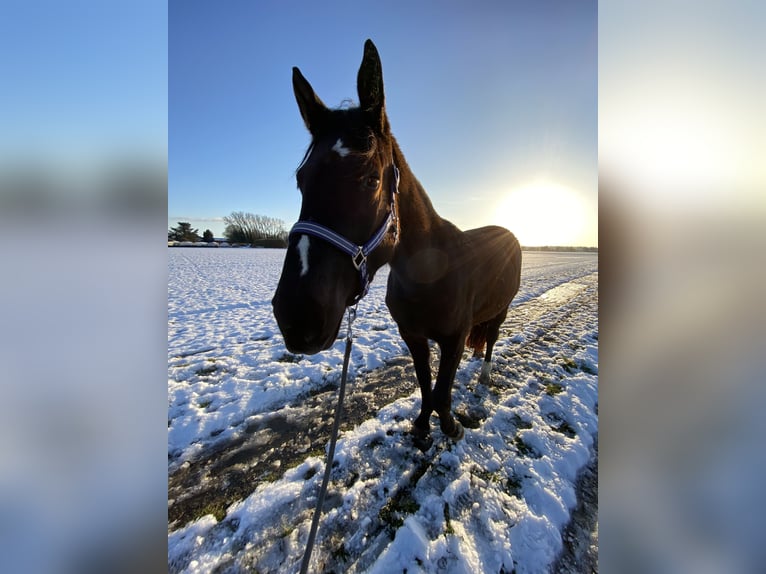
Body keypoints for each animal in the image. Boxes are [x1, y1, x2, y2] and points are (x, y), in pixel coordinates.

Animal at [272, 40, 521, 449]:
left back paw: (484, 375)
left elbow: (441, 390)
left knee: (493, 339)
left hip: (501, 309)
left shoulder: (453, 338)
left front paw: (449, 426)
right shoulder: (413, 336)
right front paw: (422, 426)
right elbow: (425, 385)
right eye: (300, 179)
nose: (297, 315)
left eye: (371, 179)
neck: (432, 274)